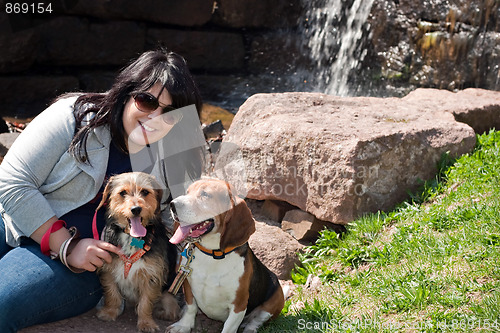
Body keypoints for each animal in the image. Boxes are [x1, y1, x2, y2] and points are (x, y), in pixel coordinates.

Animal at [95, 172, 180, 330]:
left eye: (145, 192)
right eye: (122, 193)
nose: (136, 209)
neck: (132, 237)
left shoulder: (151, 276)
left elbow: (145, 303)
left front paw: (146, 323)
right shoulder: (109, 269)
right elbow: (112, 294)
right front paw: (110, 312)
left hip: (169, 292)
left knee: (170, 306)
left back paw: (163, 312)